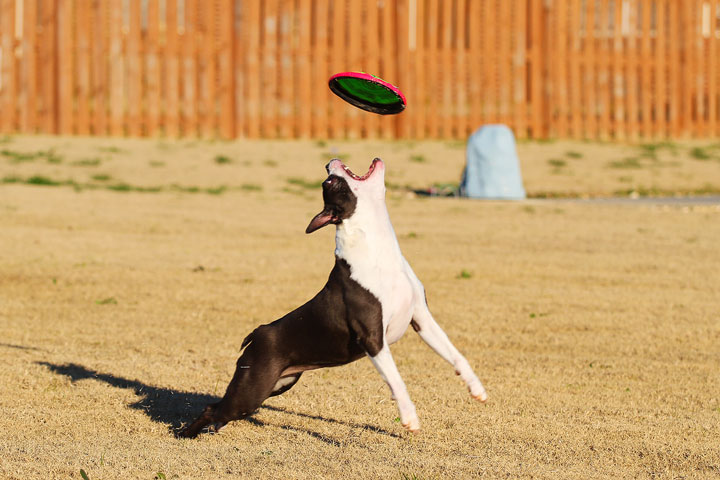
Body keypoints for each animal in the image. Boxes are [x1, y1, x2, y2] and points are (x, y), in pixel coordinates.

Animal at [177, 158, 486, 438]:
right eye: (329, 183)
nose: (328, 162)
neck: (379, 252)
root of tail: (258, 332)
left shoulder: (422, 320)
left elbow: (456, 355)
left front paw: (477, 389)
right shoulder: (373, 339)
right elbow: (396, 380)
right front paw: (409, 418)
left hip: (277, 384)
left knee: (221, 410)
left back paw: (212, 428)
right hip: (252, 389)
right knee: (213, 408)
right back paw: (185, 434)